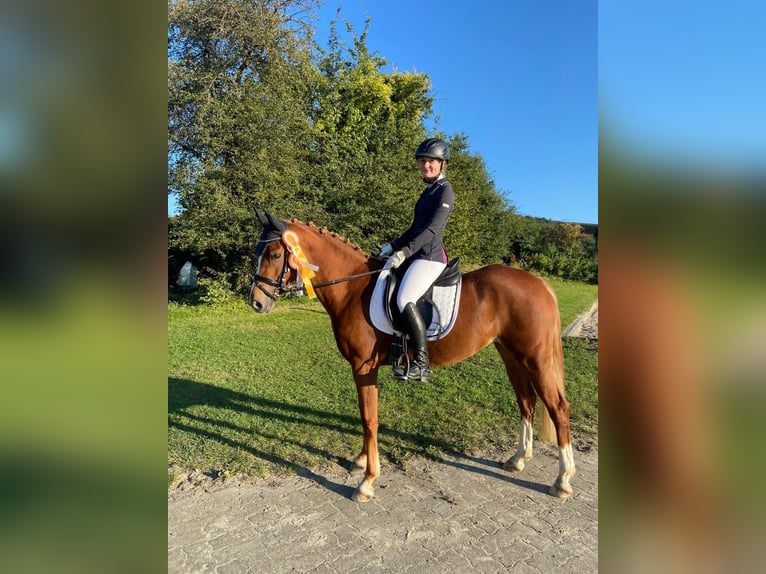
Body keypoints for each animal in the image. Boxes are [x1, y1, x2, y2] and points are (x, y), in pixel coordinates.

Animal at [248, 212, 576, 504]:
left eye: (275, 254)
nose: (256, 302)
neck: (354, 289)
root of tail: (538, 282)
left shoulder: (363, 367)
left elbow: (369, 418)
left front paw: (367, 482)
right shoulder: (363, 369)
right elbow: (367, 415)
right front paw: (361, 461)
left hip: (535, 359)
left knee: (558, 408)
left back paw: (562, 480)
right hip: (512, 356)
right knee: (526, 402)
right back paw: (518, 460)